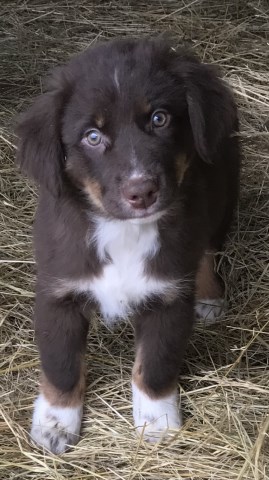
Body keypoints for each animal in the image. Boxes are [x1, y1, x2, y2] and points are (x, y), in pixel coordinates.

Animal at [15, 38, 240, 454]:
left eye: (159, 119)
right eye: (92, 136)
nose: (142, 192)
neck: (122, 231)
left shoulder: (168, 299)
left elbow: (155, 367)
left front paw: (158, 423)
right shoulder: (57, 292)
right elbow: (61, 365)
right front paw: (56, 424)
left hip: (223, 193)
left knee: (208, 247)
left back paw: (209, 294)